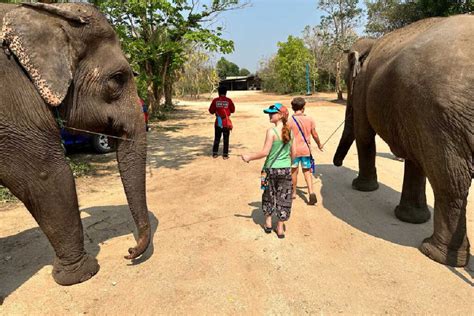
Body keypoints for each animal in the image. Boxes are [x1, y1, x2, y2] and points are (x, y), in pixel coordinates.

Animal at [334, 14, 474, 266]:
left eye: (348, 80)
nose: (336, 164)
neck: (371, 44)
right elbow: (415, 159)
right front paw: (411, 218)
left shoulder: (364, 87)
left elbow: (364, 134)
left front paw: (361, 188)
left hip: (441, 116)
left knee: (450, 181)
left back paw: (433, 253)